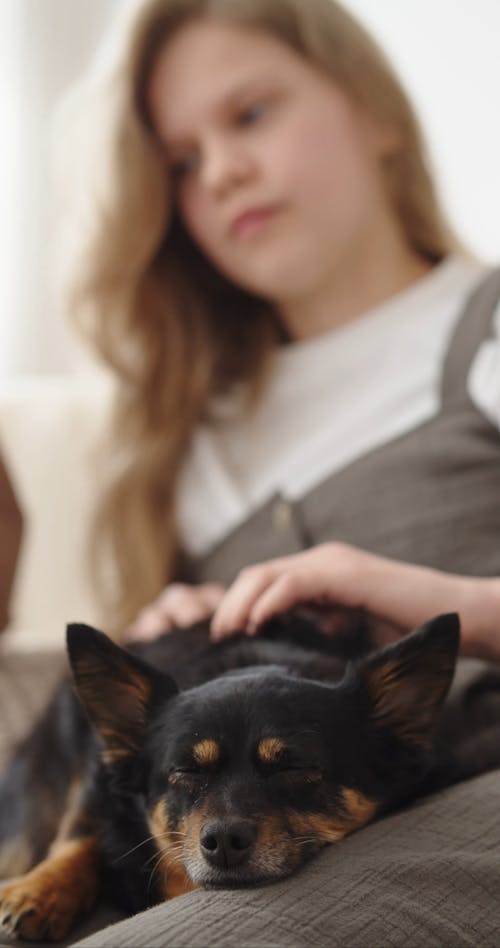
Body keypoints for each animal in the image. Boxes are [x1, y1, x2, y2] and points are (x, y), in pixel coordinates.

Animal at [0, 608, 486, 940]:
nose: (222, 841)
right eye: (185, 770)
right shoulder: (98, 778)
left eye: (294, 766)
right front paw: (37, 893)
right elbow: (79, 834)